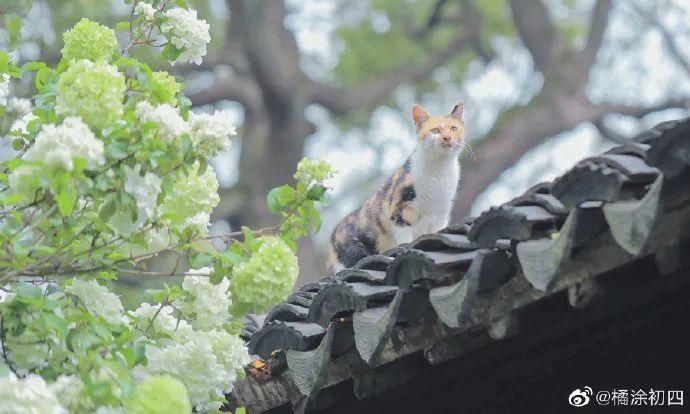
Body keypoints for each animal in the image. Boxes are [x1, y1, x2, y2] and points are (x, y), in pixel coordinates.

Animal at [326, 102, 464, 274]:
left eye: (453, 128)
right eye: (435, 131)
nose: (447, 137)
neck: (439, 172)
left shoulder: (440, 216)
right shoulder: (401, 208)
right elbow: (405, 238)